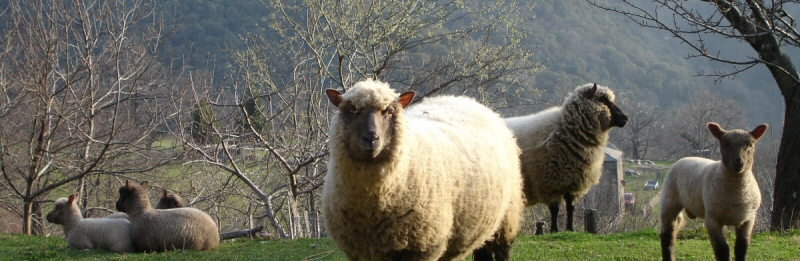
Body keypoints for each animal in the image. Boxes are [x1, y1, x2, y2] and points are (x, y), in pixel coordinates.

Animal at [322, 79, 528, 260]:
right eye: (351, 110)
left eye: (389, 111)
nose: (371, 139)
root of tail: (466, 100)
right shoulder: (359, 250)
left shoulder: (422, 246)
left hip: (507, 217)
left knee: (502, 251)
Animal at [506, 83, 632, 232]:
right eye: (603, 99)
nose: (625, 117)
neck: (566, 129)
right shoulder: (550, 182)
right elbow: (555, 209)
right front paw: (554, 229)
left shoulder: (573, 181)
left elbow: (570, 207)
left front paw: (570, 228)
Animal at [664, 122, 768, 260]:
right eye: (725, 144)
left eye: (750, 144)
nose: (739, 162)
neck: (737, 194)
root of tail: (685, 158)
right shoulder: (712, 219)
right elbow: (722, 248)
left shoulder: (748, 218)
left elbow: (742, 246)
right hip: (669, 200)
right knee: (667, 236)